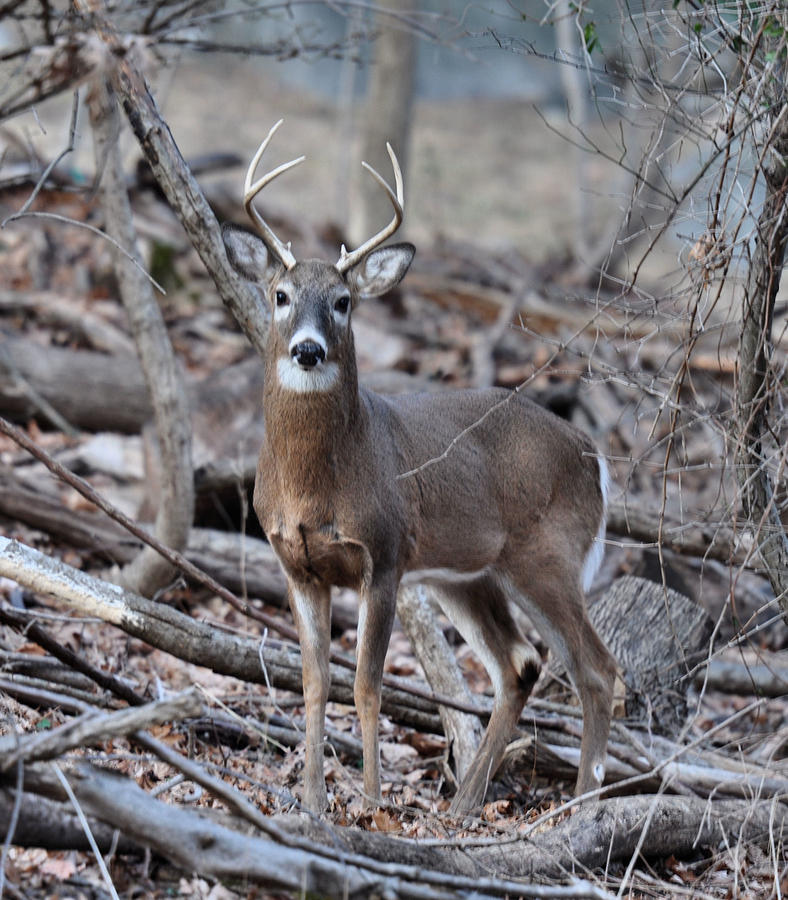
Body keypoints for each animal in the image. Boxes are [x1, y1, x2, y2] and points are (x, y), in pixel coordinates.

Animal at [222, 119, 616, 816]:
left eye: (344, 301)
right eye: (280, 295)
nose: (307, 349)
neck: (314, 485)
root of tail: (592, 455)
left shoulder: (384, 555)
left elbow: (367, 685)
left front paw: (372, 802)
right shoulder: (297, 564)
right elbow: (315, 682)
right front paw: (312, 800)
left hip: (549, 554)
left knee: (596, 669)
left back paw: (579, 808)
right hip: (470, 573)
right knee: (519, 663)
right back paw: (464, 806)